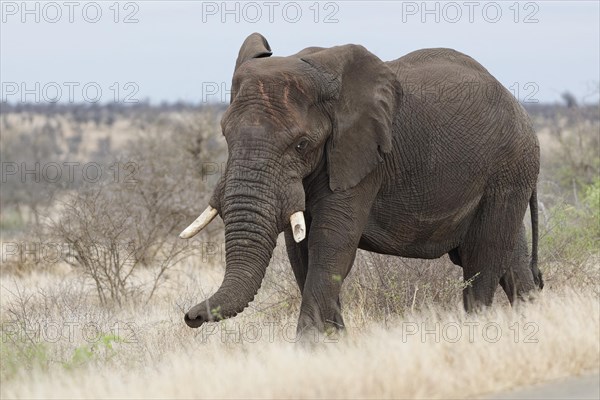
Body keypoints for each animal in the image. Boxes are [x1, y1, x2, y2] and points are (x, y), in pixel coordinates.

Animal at [179, 32, 544, 334]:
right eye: (225, 135)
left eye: (301, 144)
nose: (191, 317)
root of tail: (520, 108)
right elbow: (301, 252)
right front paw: (333, 343)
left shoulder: (363, 159)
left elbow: (331, 244)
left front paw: (309, 348)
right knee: (511, 261)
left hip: (509, 169)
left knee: (484, 256)